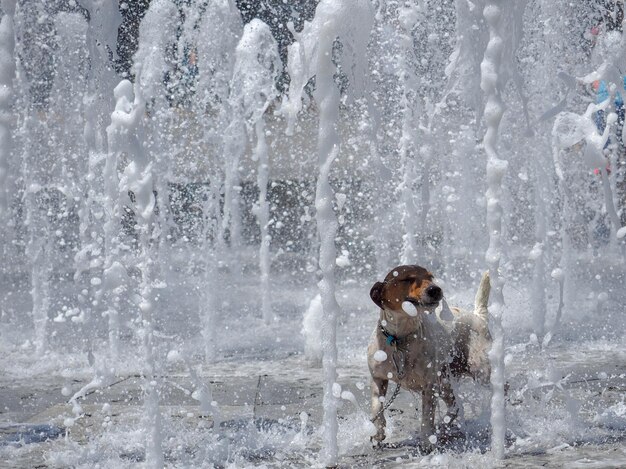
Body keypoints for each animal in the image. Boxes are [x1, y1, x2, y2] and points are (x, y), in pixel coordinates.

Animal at [364, 266, 490, 448]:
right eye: (407, 279)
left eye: (431, 277)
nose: (435, 289)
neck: (400, 339)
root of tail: (477, 315)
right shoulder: (378, 378)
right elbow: (376, 406)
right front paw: (377, 432)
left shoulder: (429, 386)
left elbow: (427, 416)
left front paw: (427, 441)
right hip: (445, 381)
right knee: (454, 407)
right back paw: (443, 427)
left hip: (480, 370)